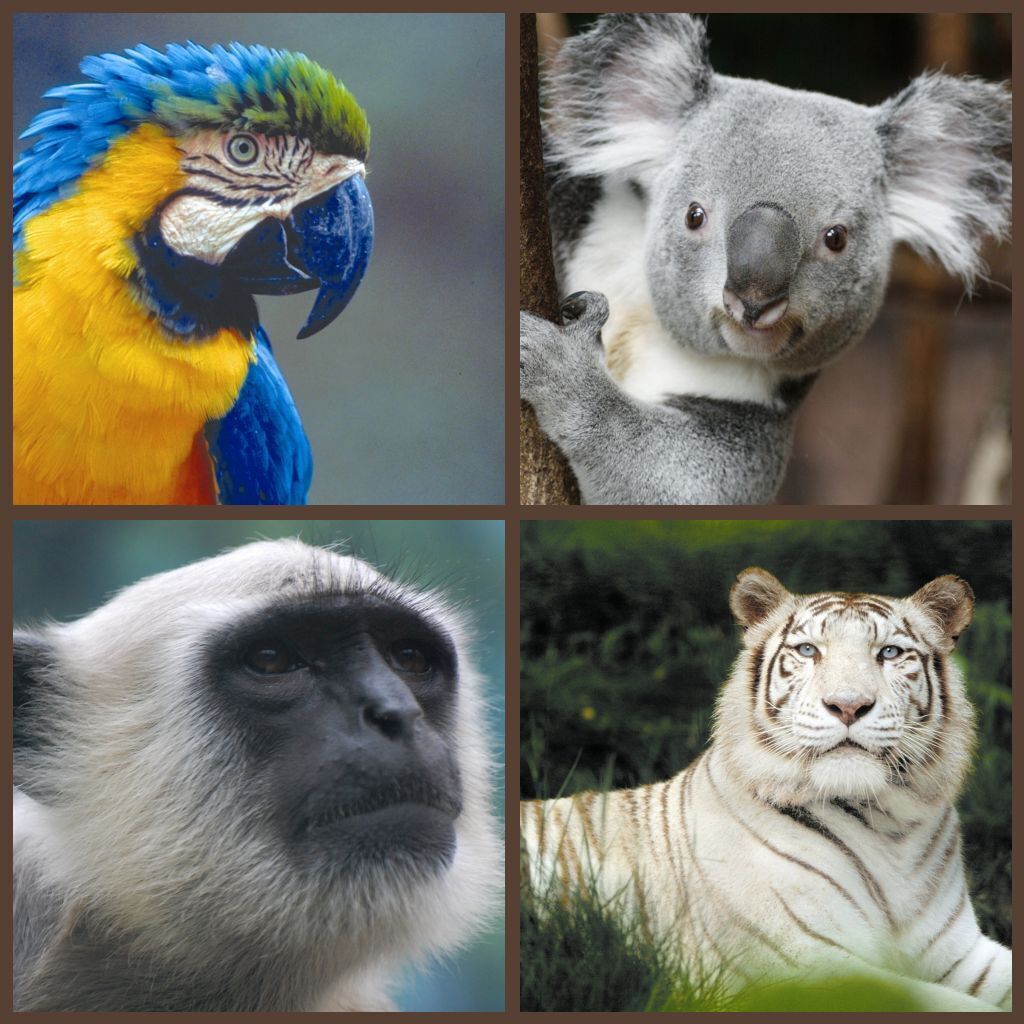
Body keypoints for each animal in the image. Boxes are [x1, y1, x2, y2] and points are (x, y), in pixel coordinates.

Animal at [521, 568, 1011, 1011]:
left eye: (889, 653)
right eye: (809, 650)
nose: (848, 705)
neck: (890, 828)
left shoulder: (960, 954)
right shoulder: (808, 967)